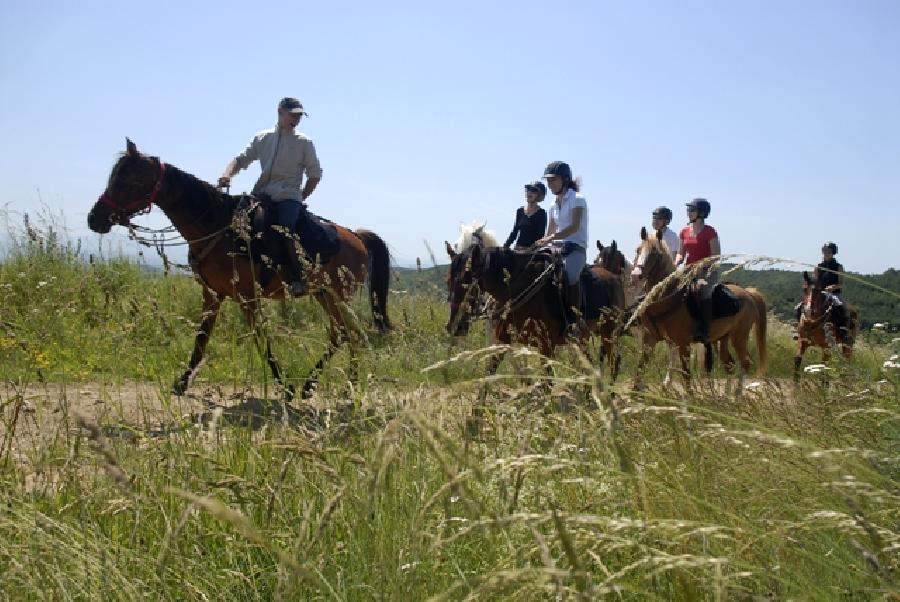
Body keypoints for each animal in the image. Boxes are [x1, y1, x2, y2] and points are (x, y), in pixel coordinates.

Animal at [87, 138, 390, 396]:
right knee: (343, 333)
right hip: (324, 294)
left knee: (348, 333)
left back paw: (338, 383)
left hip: (339, 295)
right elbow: (201, 339)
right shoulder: (212, 294)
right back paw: (322, 384)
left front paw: (285, 387)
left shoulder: (248, 298)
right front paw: (182, 383)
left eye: (130, 180)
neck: (218, 227)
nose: (94, 218)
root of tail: (356, 235)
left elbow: (262, 341)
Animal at [624, 225, 768, 384]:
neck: (667, 297)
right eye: (638, 250)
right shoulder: (649, 339)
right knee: (729, 364)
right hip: (722, 338)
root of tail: (748, 294)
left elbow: (686, 376)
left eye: (655, 253)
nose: (635, 276)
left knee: (745, 363)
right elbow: (639, 373)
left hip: (739, 337)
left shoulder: (683, 343)